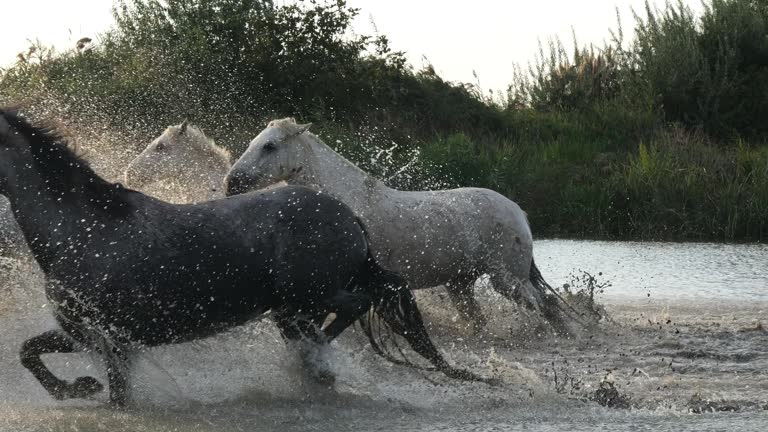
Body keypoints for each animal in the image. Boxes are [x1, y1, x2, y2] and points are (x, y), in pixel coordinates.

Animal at [0, 109, 480, 406]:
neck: (84, 230)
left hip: (312, 293)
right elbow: (29, 351)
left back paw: (317, 360)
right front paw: (79, 386)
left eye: (161, 148)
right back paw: (312, 360)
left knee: (350, 307)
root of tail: (347, 216)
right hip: (295, 303)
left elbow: (99, 386)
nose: (131, 172)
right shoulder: (97, 334)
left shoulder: (105, 336)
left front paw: (78, 386)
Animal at [224, 118, 564, 330]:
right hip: (460, 284)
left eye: (269, 146)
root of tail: (518, 211)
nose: (231, 183)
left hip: (507, 280)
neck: (346, 202)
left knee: (544, 305)